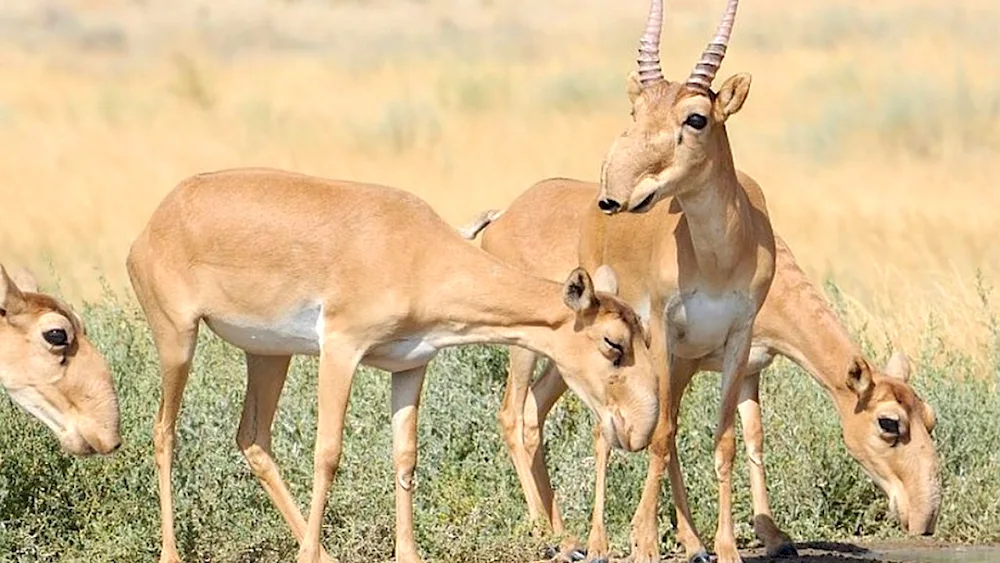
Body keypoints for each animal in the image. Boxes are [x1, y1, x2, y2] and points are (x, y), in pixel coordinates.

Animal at [125, 166, 660, 563]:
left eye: (644, 334)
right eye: (613, 343)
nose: (635, 430)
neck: (414, 249)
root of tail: (156, 221)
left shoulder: (410, 367)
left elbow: (405, 456)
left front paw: (408, 553)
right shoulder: (341, 350)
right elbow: (328, 453)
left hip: (268, 356)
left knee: (252, 439)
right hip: (178, 341)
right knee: (163, 432)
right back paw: (173, 553)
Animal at [460, 180, 936, 563]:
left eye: (931, 419)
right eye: (889, 423)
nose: (926, 518)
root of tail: (503, 214)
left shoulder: (748, 369)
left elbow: (751, 438)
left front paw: (772, 535)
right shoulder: (680, 362)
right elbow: (667, 435)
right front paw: (688, 543)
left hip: (569, 365)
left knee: (534, 411)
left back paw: (564, 534)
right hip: (528, 348)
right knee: (512, 413)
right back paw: (548, 532)